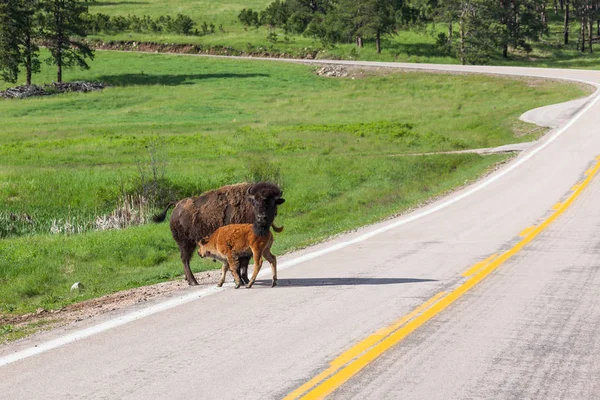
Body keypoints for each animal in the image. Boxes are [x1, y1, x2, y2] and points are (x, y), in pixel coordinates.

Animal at [151, 183, 284, 286]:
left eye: (273, 202)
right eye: (255, 202)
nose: (262, 218)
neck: (249, 205)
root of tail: (177, 204)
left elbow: (244, 263)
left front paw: (246, 280)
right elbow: (239, 263)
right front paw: (241, 280)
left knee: (185, 260)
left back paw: (189, 281)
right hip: (186, 243)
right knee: (185, 260)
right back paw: (193, 282)